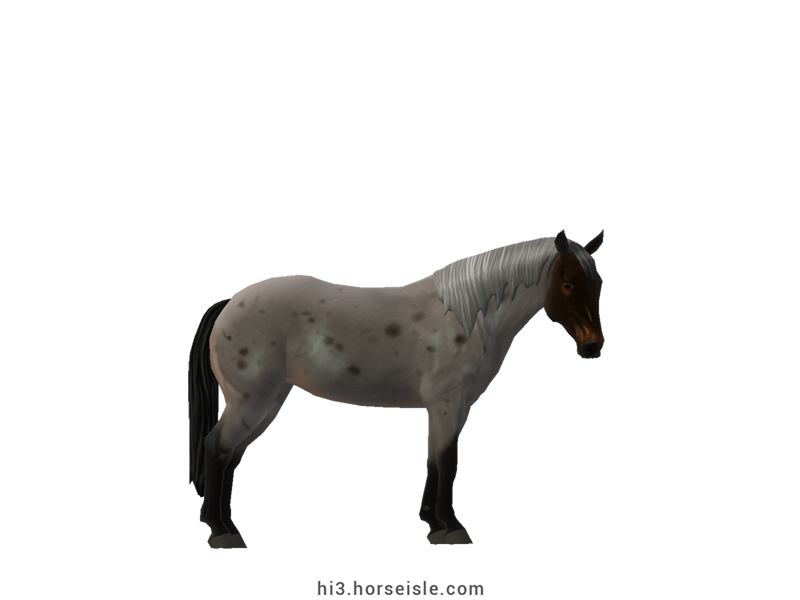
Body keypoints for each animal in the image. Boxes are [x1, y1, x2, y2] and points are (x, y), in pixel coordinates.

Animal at [189, 229, 604, 547]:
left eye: (596, 281)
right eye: (568, 282)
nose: (592, 346)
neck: (468, 317)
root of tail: (231, 304)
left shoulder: (452, 405)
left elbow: (436, 458)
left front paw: (432, 524)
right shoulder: (447, 400)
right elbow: (448, 460)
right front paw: (453, 527)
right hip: (248, 401)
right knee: (216, 447)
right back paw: (221, 532)